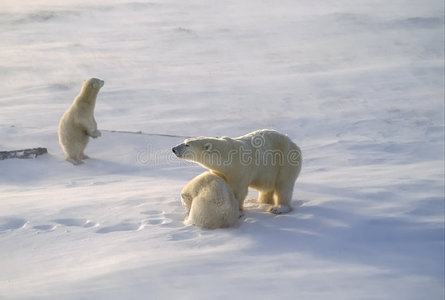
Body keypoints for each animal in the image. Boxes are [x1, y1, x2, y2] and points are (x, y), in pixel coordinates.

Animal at [172, 129, 300, 213]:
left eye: (187, 145)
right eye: (185, 141)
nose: (174, 149)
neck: (227, 156)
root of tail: (293, 143)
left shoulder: (240, 169)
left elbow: (239, 190)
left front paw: (236, 210)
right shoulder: (221, 171)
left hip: (285, 161)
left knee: (284, 185)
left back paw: (278, 208)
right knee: (266, 189)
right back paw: (262, 202)